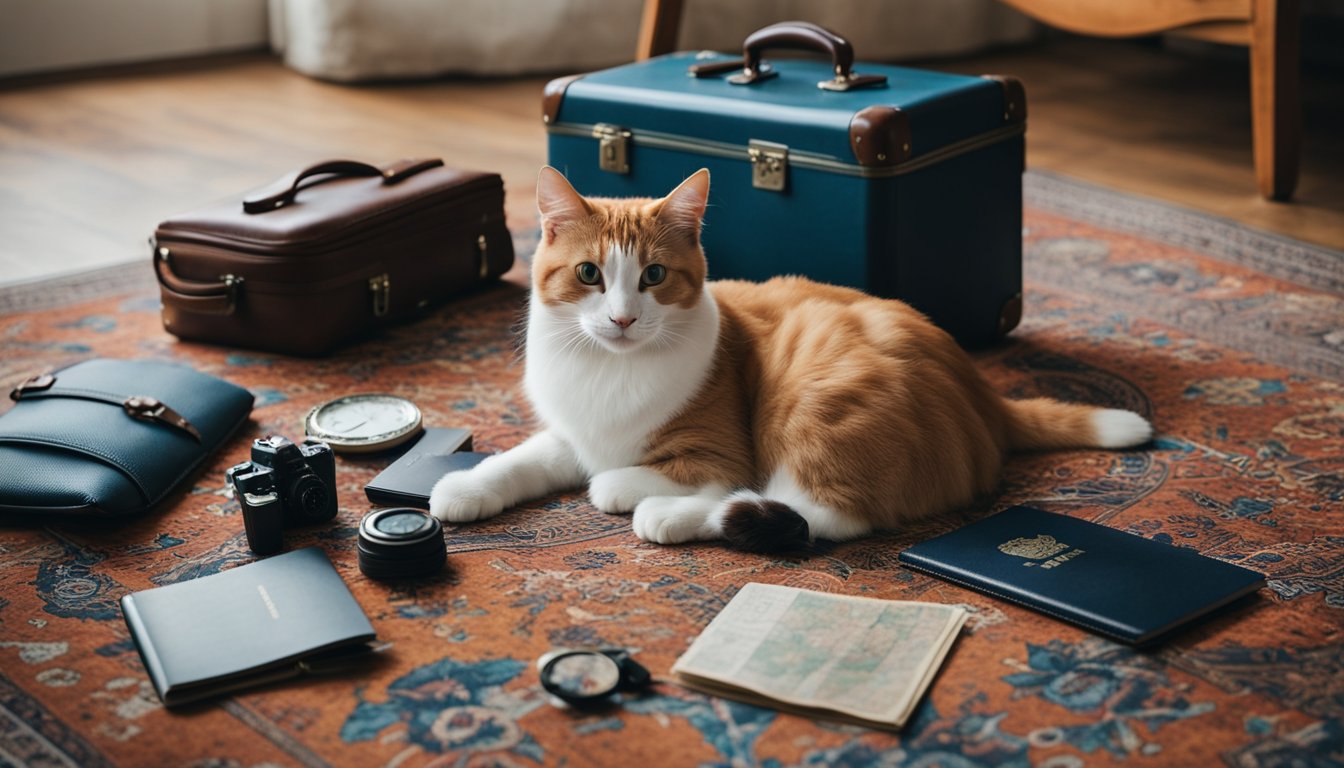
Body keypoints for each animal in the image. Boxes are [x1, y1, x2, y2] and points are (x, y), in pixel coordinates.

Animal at [432, 168, 1155, 554]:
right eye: (588, 274)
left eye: (654, 276)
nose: (622, 318)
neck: (609, 371)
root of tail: (985, 395)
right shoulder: (571, 432)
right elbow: (523, 459)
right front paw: (464, 487)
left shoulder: (719, 454)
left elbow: (615, 479)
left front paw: (632, 491)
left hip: (816, 397)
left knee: (822, 513)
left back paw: (673, 518)